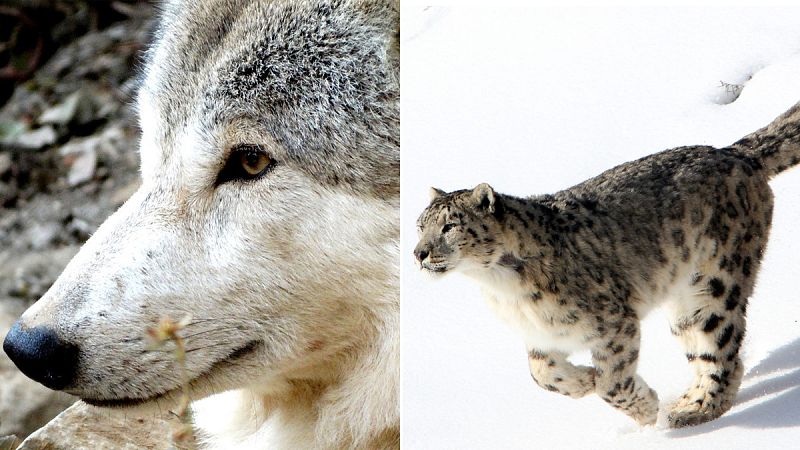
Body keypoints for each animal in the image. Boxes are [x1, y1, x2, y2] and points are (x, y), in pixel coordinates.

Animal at [413, 101, 800, 428]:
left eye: (449, 226)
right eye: (420, 225)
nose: (419, 253)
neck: (500, 286)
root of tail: (735, 153)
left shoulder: (614, 322)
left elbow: (612, 382)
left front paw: (644, 409)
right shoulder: (541, 333)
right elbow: (540, 373)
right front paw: (583, 380)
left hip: (715, 283)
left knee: (720, 350)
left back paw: (692, 411)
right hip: (683, 303)